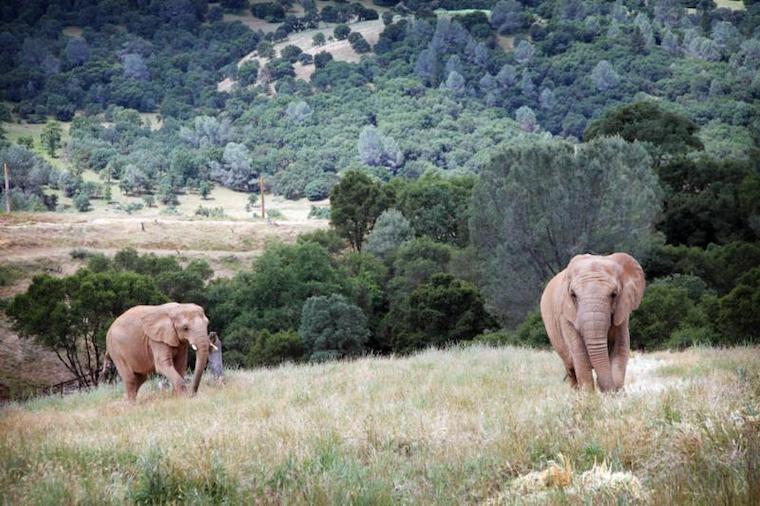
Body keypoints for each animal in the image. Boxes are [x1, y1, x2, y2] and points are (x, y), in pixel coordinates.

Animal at [540, 253, 645, 392]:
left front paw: (616, 393)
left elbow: (620, 347)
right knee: (571, 369)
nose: (606, 389)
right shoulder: (565, 315)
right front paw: (589, 395)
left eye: (614, 294)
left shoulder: (622, 312)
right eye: (573, 295)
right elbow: (579, 352)